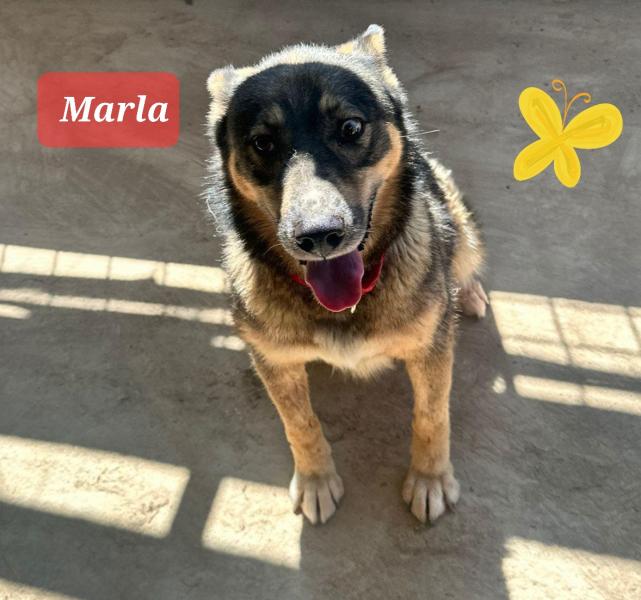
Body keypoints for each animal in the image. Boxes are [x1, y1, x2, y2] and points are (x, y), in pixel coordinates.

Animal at [205, 25, 487, 525]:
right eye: (262, 143)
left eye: (350, 128)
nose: (319, 236)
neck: (347, 302)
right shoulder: (279, 366)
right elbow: (300, 423)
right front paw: (315, 479)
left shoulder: (432, 350)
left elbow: (432, 414)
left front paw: (430, 478)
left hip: (460, 225)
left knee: (462, 256)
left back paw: (468, 292)